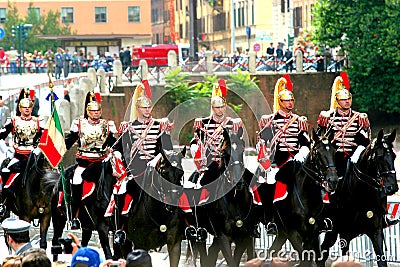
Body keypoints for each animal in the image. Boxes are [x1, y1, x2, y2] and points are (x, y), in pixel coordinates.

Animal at [258, 131, 340, 266]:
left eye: (334, 152)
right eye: (318, 153)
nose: (333, 181)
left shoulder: (312, 234)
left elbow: (310, 258)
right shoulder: (292, 232)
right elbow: (305, 259)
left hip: (283, 234)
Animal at [318, 130, 398, 267]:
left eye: (394, 156)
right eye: (379, 156)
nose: (392, 187)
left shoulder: (376, 232)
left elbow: (382, 260)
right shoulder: (344, 234)